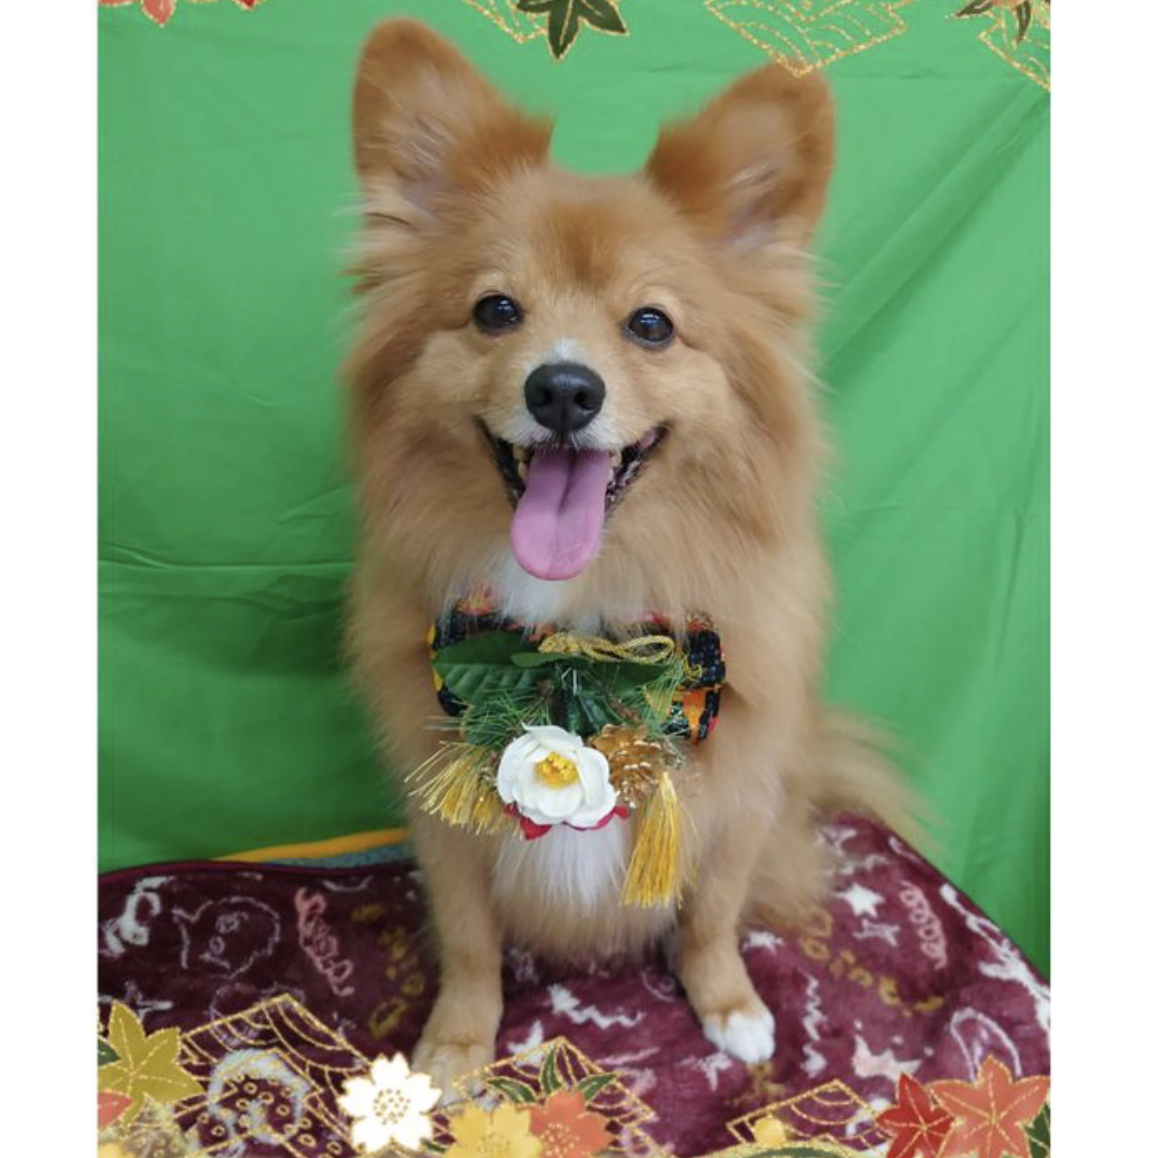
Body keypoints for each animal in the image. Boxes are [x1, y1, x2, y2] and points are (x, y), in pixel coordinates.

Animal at [343, 19, 913, 1092]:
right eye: (495, 311)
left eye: (650, 325)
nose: (564, 388)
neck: (575, 632)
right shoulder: (441, 818)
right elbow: (471, 941)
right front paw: (457, 1042)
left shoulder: (735, 795)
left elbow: (712, 914)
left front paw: (727, 1005)